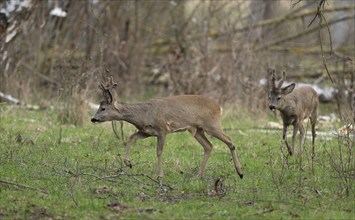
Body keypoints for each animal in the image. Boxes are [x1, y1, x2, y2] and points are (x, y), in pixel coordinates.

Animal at [91, 76, 245, 185]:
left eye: (103, 108)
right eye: (99, 106)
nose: (93, 119)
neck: (144, 114)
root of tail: (219, 107)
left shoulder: (161, 129)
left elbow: (159, 152)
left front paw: (160, 176)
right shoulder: (146, 132)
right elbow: (129, 138)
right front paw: (128, 163)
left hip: (212, 125)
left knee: (229, 140)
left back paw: (240, 172)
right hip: (197, 129)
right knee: (208, 146)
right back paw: (198, 175)